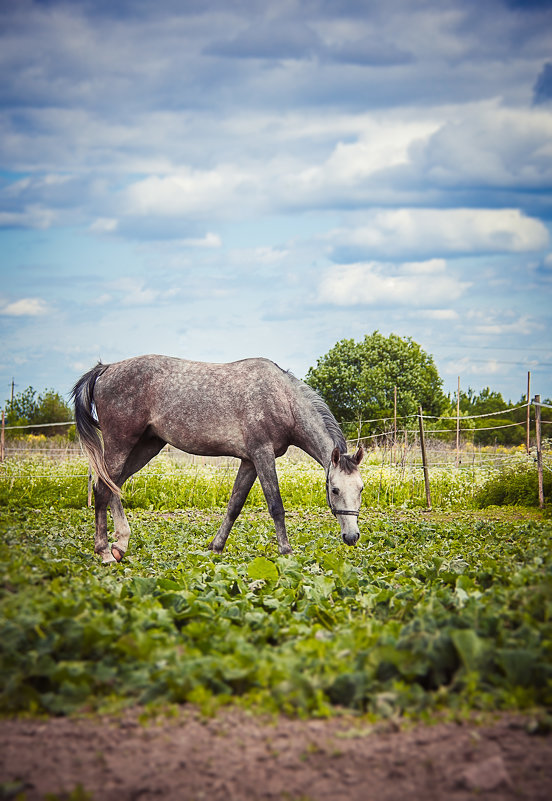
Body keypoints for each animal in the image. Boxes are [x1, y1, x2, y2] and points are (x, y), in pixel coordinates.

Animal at [70, 356, 362, 564]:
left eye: (360, 489)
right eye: (334, 490)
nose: (352, 536)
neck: (282, 398)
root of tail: (106, 369)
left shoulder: (249, 461)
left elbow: (234, 505)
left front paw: (215, 546)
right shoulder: (262, 455)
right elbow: (276, 506)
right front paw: (287, 552)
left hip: (145, 446)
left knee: (114, 486)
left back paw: (120, 545)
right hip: (121, 443)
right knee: (102, 488)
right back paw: (104, 552)